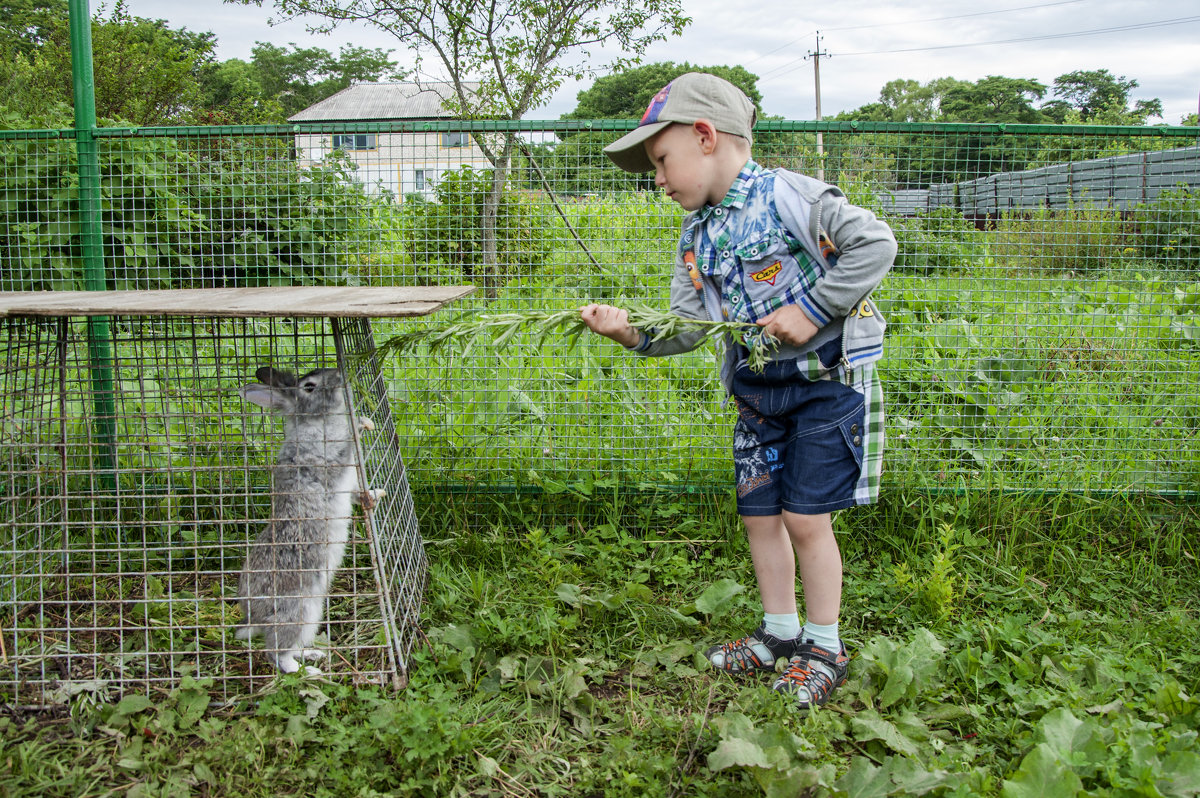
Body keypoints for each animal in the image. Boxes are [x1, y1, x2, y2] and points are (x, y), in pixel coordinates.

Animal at [234, 364, 384, 672]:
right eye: (310, 386)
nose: (341, 374)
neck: (318, 420)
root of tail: (253, 615)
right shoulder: (326, 460)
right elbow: (345, 448)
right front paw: (361, 424)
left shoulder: (348, 485)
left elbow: (356, 495)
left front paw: (375, 496)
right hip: (296, 611)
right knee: (275, 653)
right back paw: (308, 672)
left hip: (312, 614)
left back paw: (314, 656)